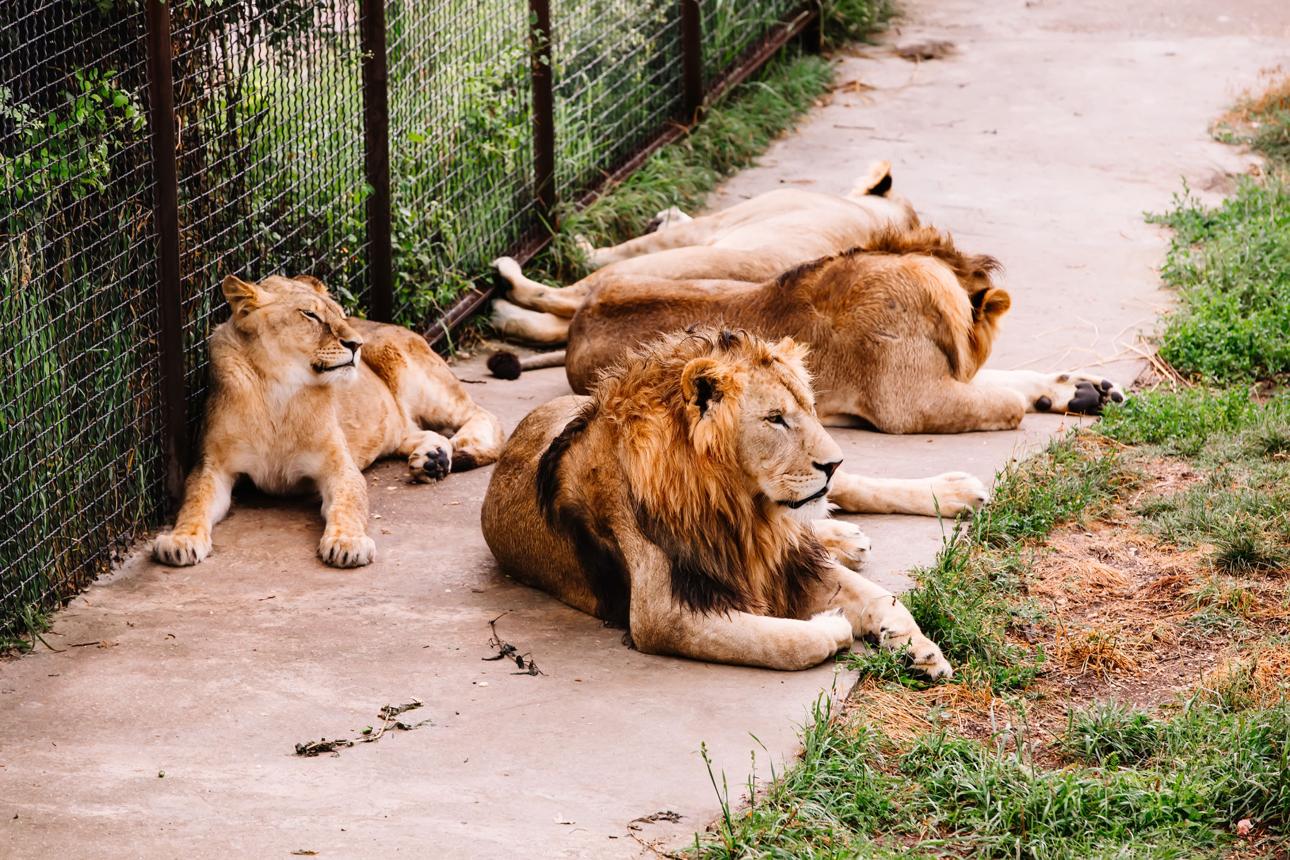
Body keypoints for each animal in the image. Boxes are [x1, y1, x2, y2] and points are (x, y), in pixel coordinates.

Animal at [152, 274, 505, 569]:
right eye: (310, 315)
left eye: (339, 314)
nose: (356, 344)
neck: (279, 392)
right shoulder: (213, 466)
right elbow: (195, 502)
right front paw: (180, 540)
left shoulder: (339, 467)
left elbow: (348, 504)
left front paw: (348, 543)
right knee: (417, 431)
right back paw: (433, 459)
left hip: (415, 374)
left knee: (481, 414)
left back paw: (463, 446)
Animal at [480, 328, 955, 676]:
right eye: (775, 419)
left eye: (810, 410)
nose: (833, 462)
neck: (742, 509)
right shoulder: (664, 616)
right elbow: (785, 642)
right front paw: (832, 625)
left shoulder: (789, 562)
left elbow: (882, 599)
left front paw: (919, 647)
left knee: (844, 494)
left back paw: (954, 491)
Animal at [489, 160, 916, 347]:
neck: (876, 214)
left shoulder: (716, 225)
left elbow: (650, 238)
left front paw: (581, 244)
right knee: (560, 323)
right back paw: (504, 316)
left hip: (659, 266)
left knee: (564, 298)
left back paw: (506, 282)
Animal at [492, 227, 1125, 434]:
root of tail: (582, 327)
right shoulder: (912, 404)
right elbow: (1005, 402)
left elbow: (1013, 380)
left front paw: (1084, 389)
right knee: (559, 293)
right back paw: (505, 286)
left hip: (719, 272)